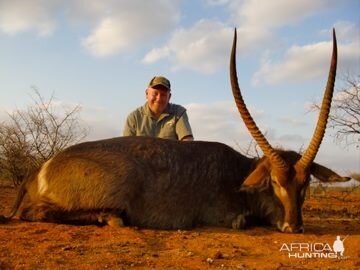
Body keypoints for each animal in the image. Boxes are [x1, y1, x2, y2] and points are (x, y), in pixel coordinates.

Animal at [0, 29, 348, 232]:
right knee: (34, 212)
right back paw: (108, 217)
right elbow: (242, 220)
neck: (238, 172)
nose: (294, 227)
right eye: (275, 181)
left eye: (306, 182)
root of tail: (39, 169)